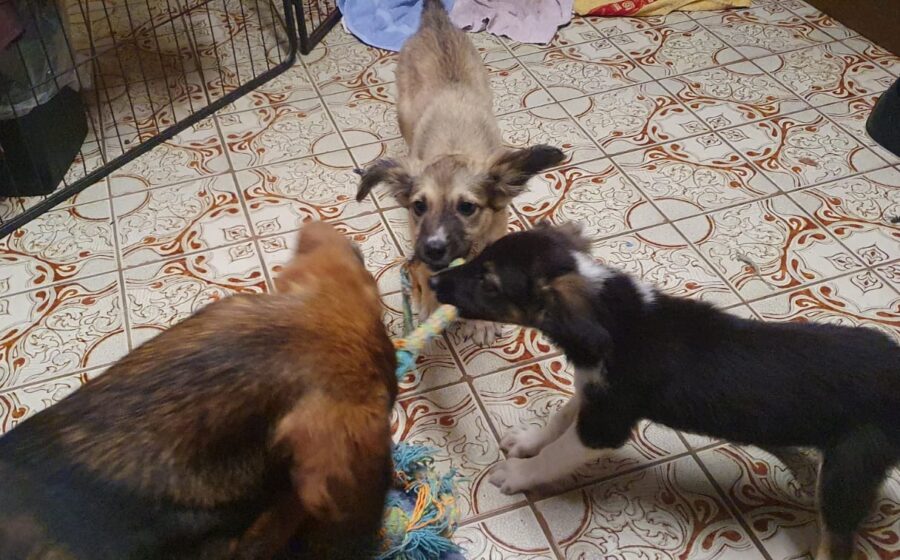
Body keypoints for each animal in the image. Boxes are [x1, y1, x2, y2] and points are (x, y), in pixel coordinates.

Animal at [354, 0, 565, 346]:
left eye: (467, 207)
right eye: (418, 206)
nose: (433, 249)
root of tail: (435, 22)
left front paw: (481, 323)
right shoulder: (419, 239)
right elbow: (426, 272)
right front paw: (428, 306)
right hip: (404, 109)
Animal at [430, 222, 900, 560]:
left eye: (490, 284)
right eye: (480, 256)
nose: (433, 284)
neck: (610, 311)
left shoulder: (606, 424)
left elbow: (556, 453)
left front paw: (517, 473)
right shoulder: (593, 392)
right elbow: (557, 420)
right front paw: (526, 442)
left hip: (847, 471)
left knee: (837, 542)